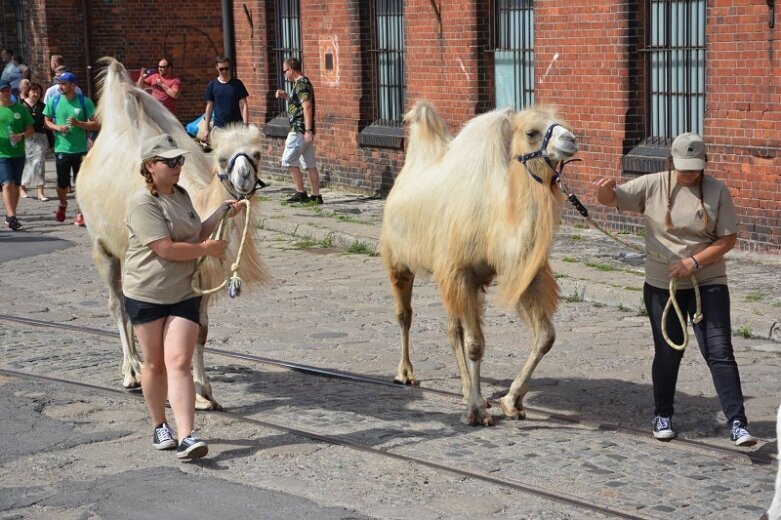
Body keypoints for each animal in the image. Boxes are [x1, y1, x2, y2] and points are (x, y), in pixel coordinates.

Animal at [75, 58, 268, 410]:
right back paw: (132, 372)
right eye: (221, 158)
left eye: (257, 154)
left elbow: (200, 330)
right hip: (102, 245)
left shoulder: (200, 278)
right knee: (117, 303)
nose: (244, 177)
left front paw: (204, 392)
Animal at [380, 99, 576, 424]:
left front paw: (510, 400)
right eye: (531, 132)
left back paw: (466, 390)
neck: (494, 218)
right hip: (398, 260)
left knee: (451, 328)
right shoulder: (459, 271)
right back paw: (406, 373)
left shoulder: (521, 271)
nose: (571, 139)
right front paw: (475, 410)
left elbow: (545, 337)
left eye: (562, 122)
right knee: (404, 315)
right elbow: (475, 345)